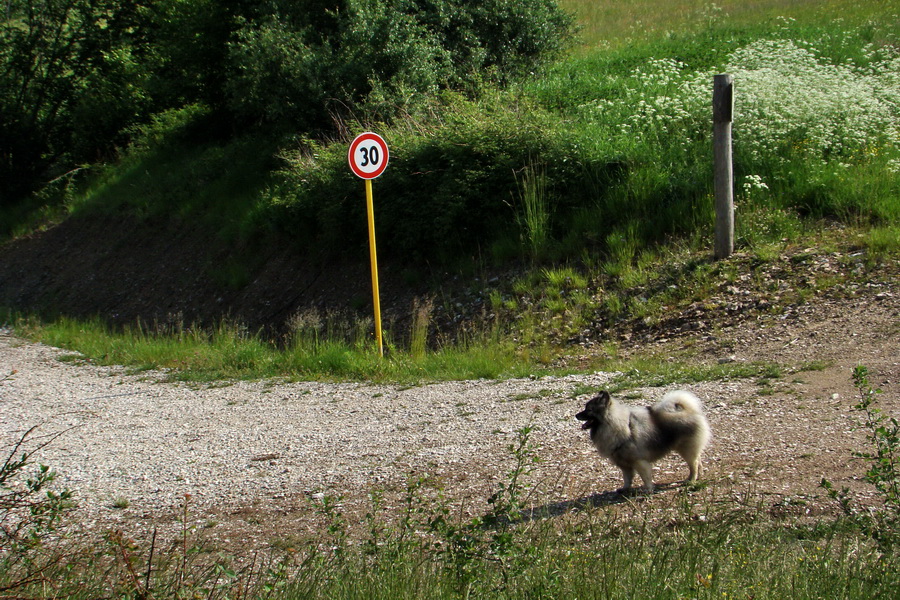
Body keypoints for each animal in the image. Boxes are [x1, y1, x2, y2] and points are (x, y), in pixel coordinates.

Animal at [576, 390, 712, 492]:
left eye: (589, 410)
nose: (576, 415)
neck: (618, 425)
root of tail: (689, 411)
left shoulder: (639, 462)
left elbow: (645, 477)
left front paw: (648, 490)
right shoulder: (624, 464)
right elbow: (627, 478)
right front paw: (625, 489)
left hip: (686, 449)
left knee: (694, 464)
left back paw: (691, 480)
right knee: (698, 461)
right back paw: (698, 475)